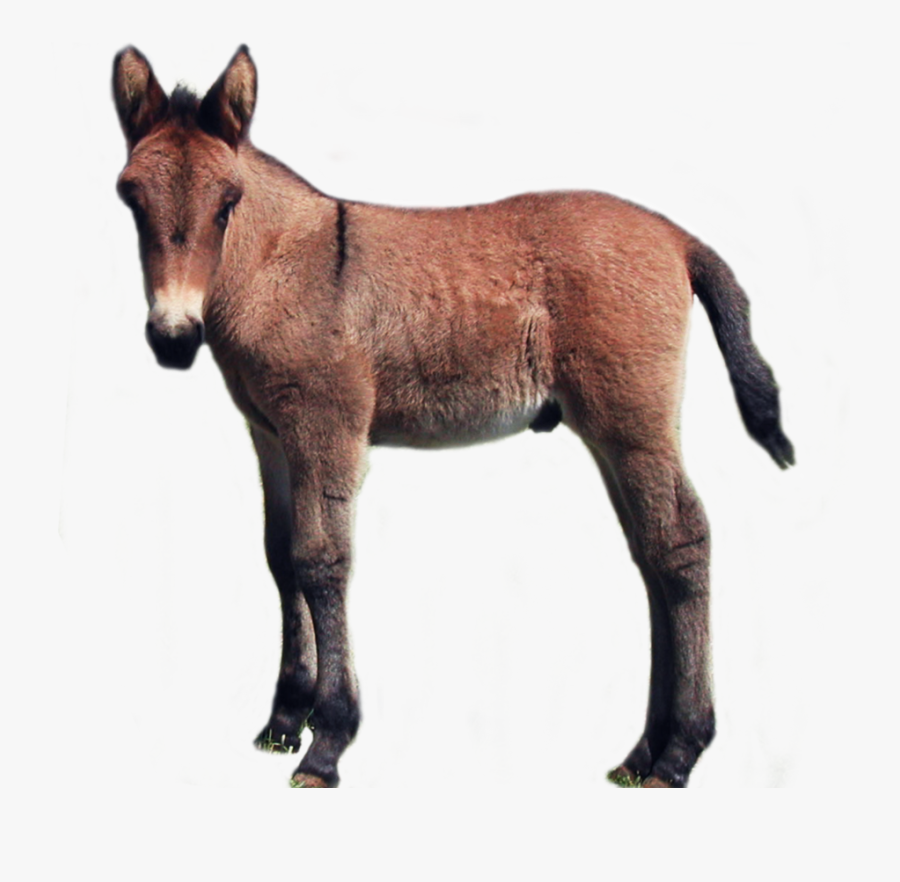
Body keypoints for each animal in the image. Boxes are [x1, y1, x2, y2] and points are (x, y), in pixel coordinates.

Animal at [112, 45, 793, 788]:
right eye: (131, 198)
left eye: (227, 203)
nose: (173, 338)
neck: (278, 267)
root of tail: (677, 236)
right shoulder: (271, 436)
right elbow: (279, 558)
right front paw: (284, 721)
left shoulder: (327, 428)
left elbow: (321, 562)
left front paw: (328, 740)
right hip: (609, 430)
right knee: (652, 554)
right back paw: (643, 753)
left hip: (633, 421)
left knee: (682, 543)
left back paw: (679, 751)